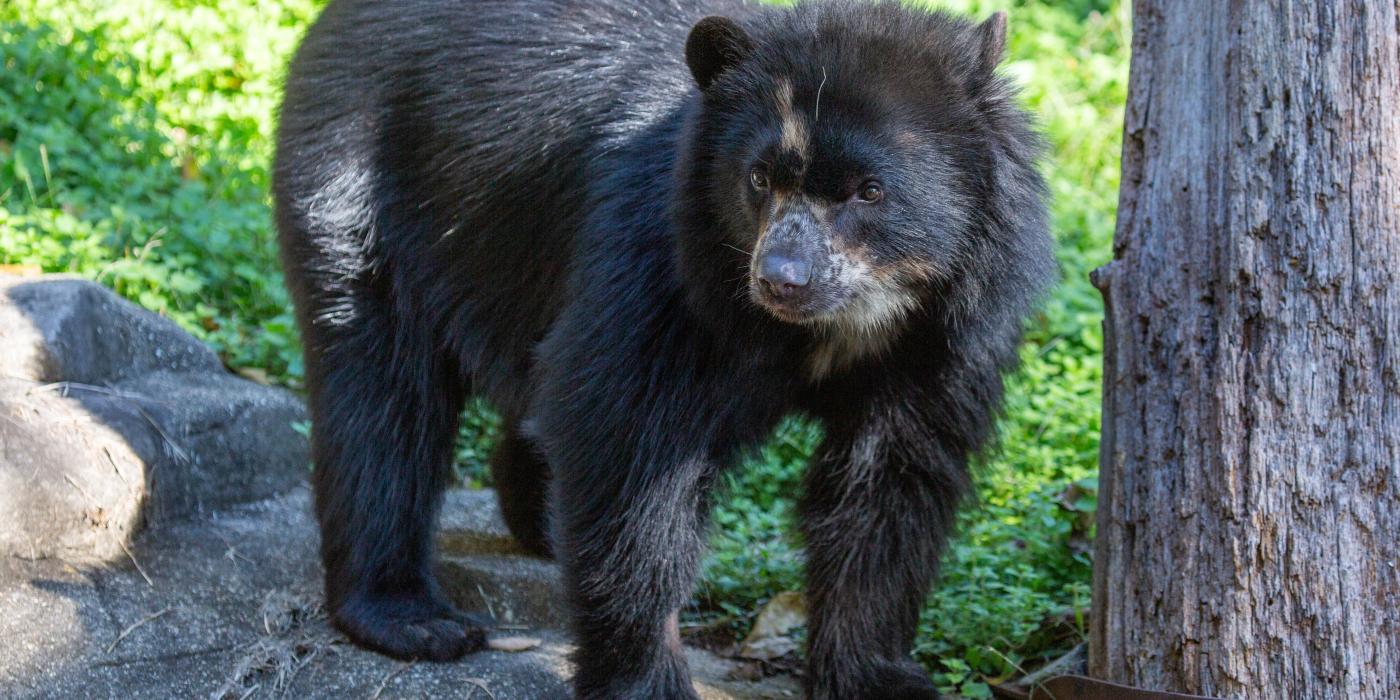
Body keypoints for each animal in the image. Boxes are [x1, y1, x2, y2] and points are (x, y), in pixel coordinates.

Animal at [273, 1, 1052, 694]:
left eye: (869, 191)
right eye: (759, 178)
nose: (781, 278)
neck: (845, 322)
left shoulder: (940, 338)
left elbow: (889, 485)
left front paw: (876, 676)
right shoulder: (663, 264)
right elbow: (626, 450)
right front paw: (644, 677)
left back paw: (537, 521)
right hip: (358, 182)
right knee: (380, 394)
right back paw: (411, 617)